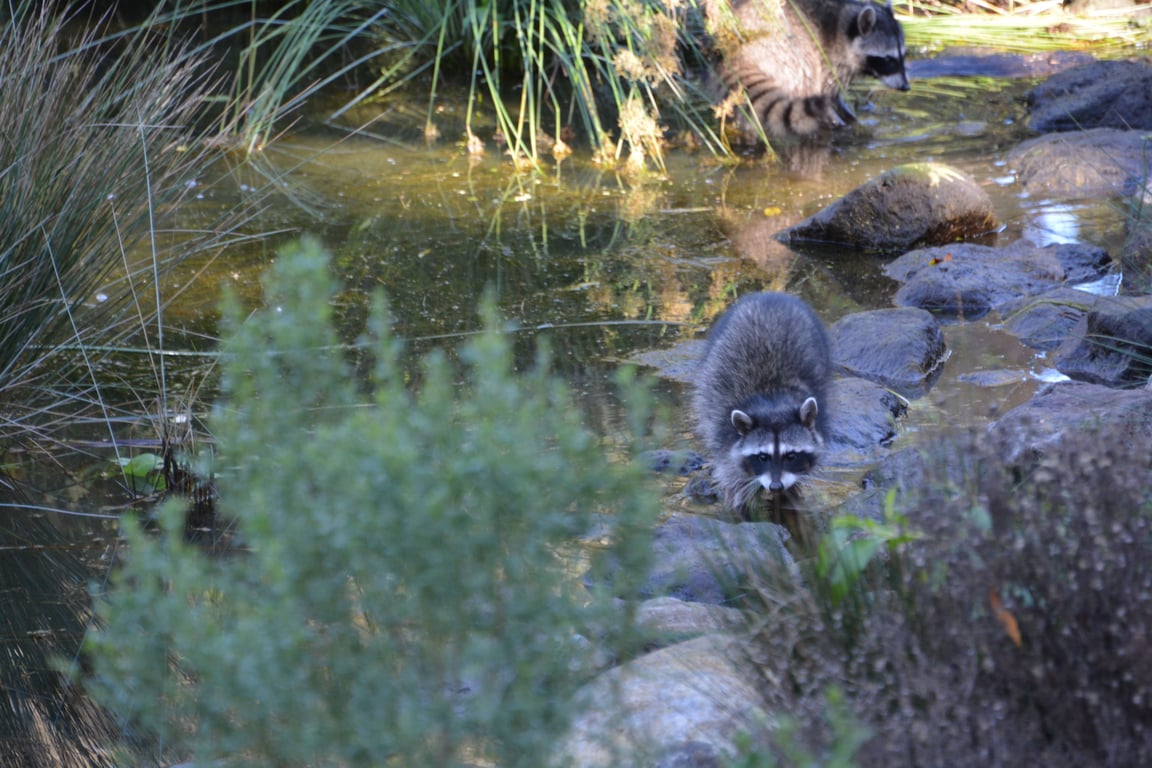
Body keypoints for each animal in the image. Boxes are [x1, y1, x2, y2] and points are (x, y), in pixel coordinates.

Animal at [692, 292, 832, 515]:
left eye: (791, 456)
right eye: (762, 457)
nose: (775, 486)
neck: (772, 401)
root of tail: (771, 295)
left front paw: (789, 497)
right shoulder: (723, 434)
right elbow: (734, 482)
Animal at [706, 0, 909, 140]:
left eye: (903, 56)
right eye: (888, 60)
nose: (906, 87)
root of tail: (736, 52)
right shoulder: (830, 57)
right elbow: (831, 96)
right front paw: (842, 119)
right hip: (787, 53)